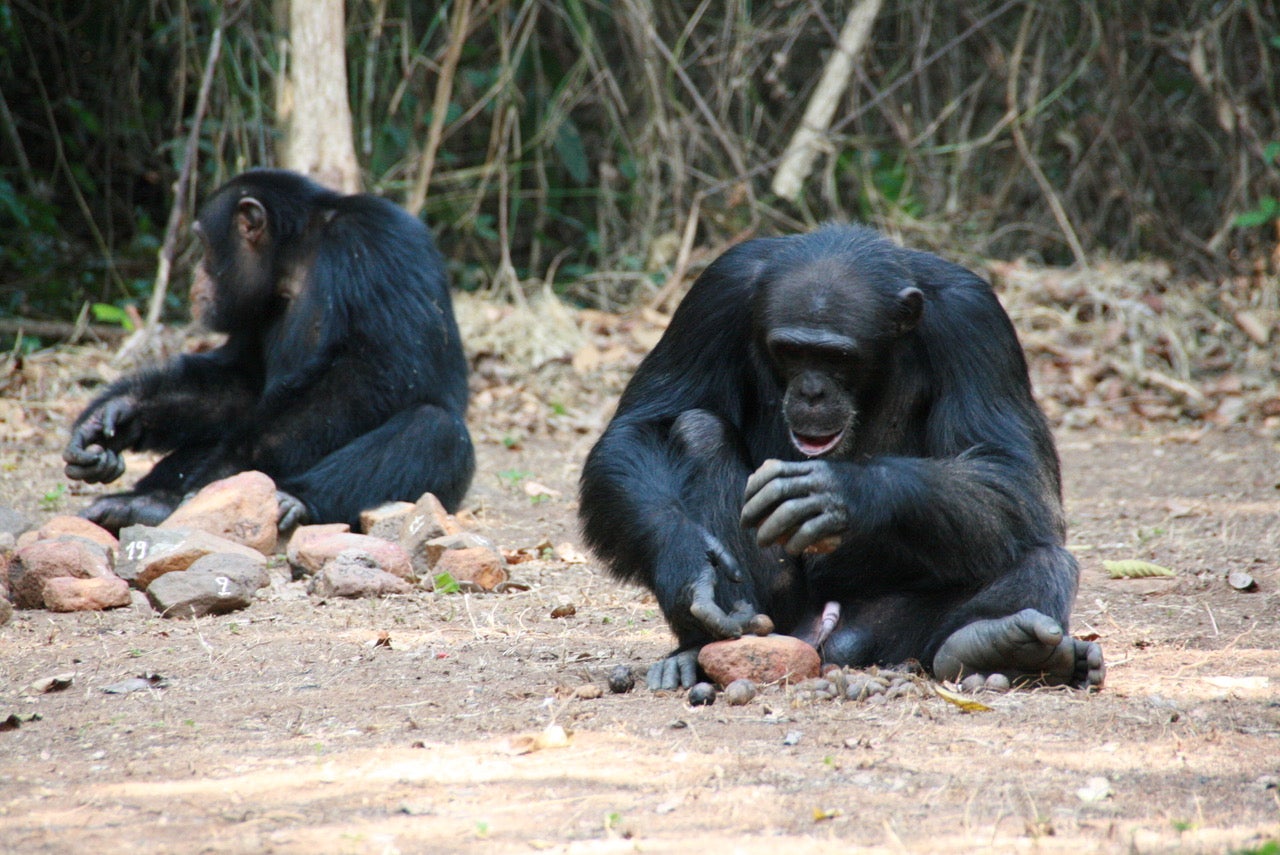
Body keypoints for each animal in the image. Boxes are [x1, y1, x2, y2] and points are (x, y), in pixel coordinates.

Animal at [64, 168, 476, 529]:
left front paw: (223, 475)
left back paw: (289, 499)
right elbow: (243, 380)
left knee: (434, 430)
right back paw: (144, 503)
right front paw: (119, 412)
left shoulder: (375, 242)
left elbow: (375, 369)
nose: (196, 274)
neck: (296, 256)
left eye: (204, 243)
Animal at [586, 223, 1105, 691]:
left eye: (839, 358)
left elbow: (1015, 471)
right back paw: (698, 650)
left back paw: (997, 647)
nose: (812, 392)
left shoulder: (976, 321)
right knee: (698, 429)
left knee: (1044, 561)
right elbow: (642, 426)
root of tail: (820, 636)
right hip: (777, 616)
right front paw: (689, 563)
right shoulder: (715, 292)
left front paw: (841, 492)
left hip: (881, 638)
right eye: (789, 351)